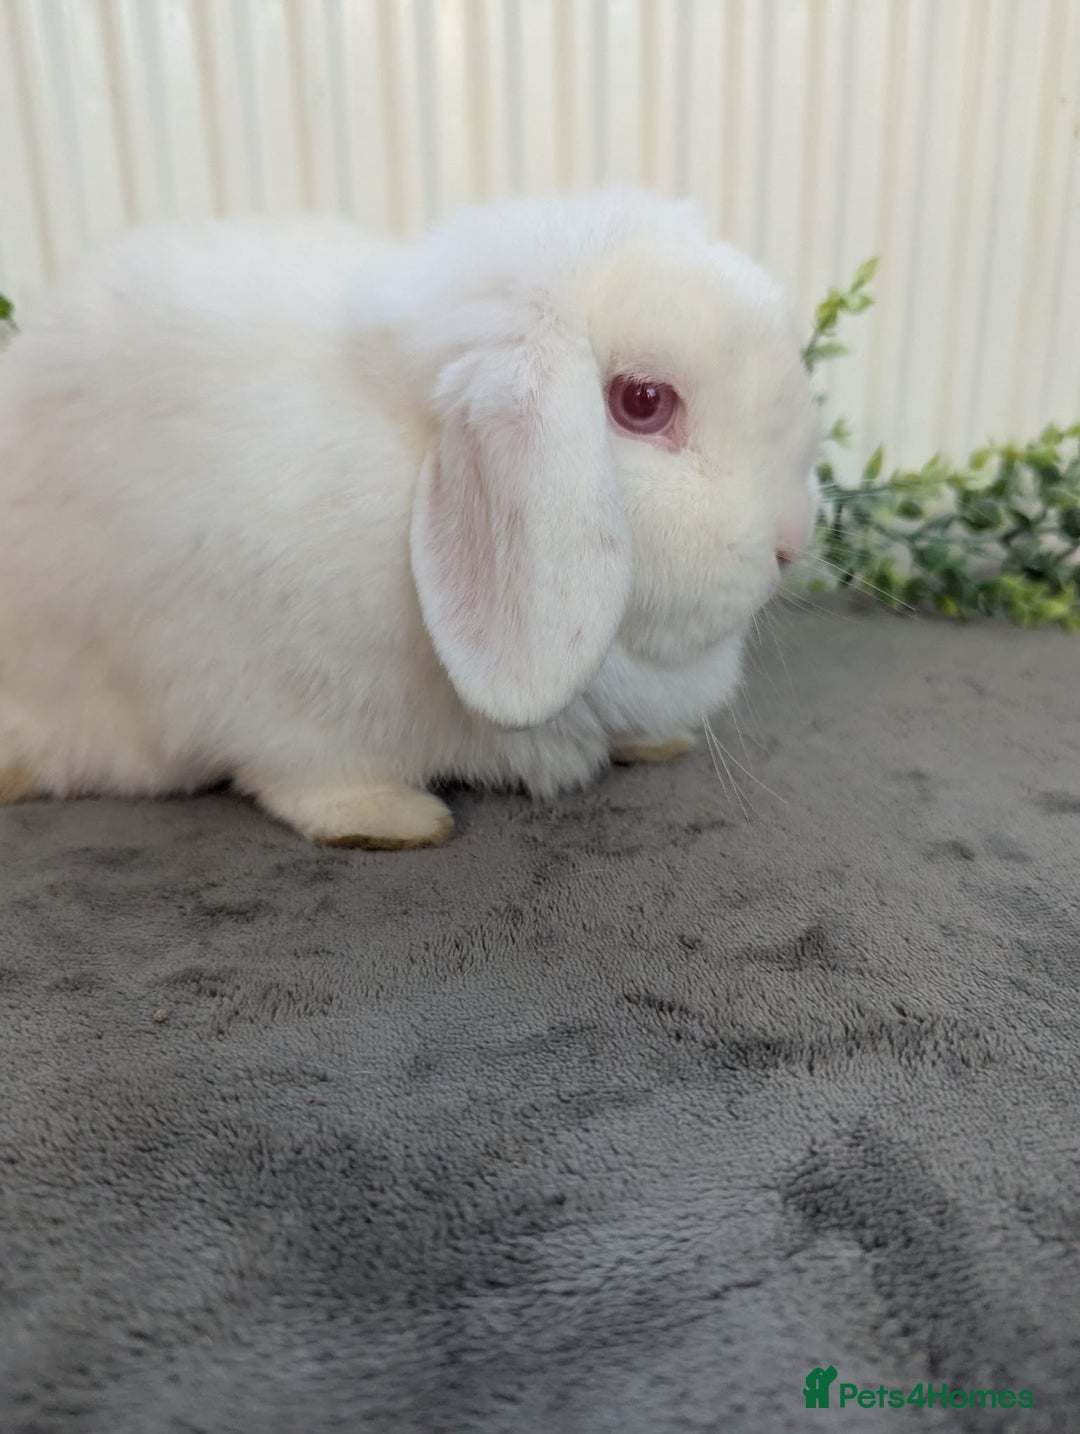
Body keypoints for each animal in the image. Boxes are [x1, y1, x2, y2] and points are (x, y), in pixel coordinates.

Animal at [0, 188, 819, 848]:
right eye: (643, 402)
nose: (792, 542)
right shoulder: (268, 699)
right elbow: (310, 779)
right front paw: (396, 822)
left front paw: (657, 744)